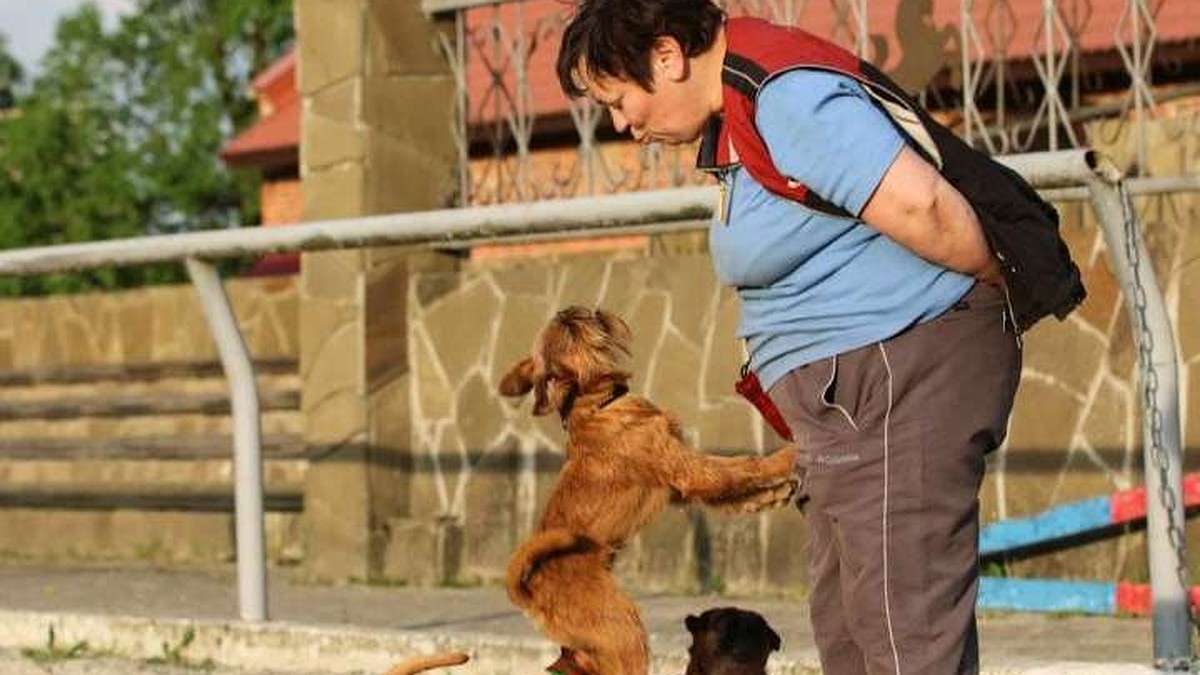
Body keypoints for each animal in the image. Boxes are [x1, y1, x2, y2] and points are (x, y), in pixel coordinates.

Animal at [496, 306, 796, 672]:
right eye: (571, 326)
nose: (566, 309)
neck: (596, 404)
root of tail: (530, 597)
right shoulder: (691, 471)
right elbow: (743, 466)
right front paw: (790, 453)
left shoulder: (682, 488)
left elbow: (735, 493)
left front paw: (774, 495)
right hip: (625, 628)